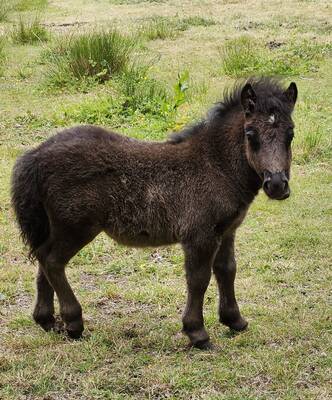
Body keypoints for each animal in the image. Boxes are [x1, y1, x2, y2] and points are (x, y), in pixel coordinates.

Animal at [11, 78, 296, 346]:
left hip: (58, 227)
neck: (216, 166)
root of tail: (36, 154)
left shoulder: (227, 230)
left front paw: (235, 320)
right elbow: (199, 279)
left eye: (291, 134)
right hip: (75, 227)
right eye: (250, 134)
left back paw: (47, 320)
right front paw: (197, 332)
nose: (277, 185)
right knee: (52, 260)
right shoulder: (199, 235)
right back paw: (73, 323)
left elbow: (227, 270)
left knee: (42, 256)